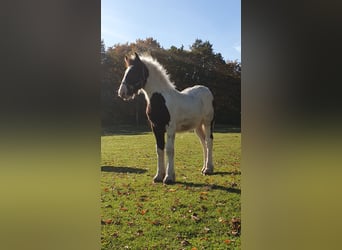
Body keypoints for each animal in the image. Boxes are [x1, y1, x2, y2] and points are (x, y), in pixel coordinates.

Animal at [117, 52, 214, 185]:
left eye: (134, 72)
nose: (122, 93)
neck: (160, 99)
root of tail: (206, 89)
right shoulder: (156, 127)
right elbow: (159, 149)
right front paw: (158, 176)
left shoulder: (170, 128)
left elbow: (169, 149)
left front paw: (168, 177)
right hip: (197, 126)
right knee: (203, 143)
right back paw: (204, 168)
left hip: (207, 122)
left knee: (209, 141)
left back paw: (208, 169)